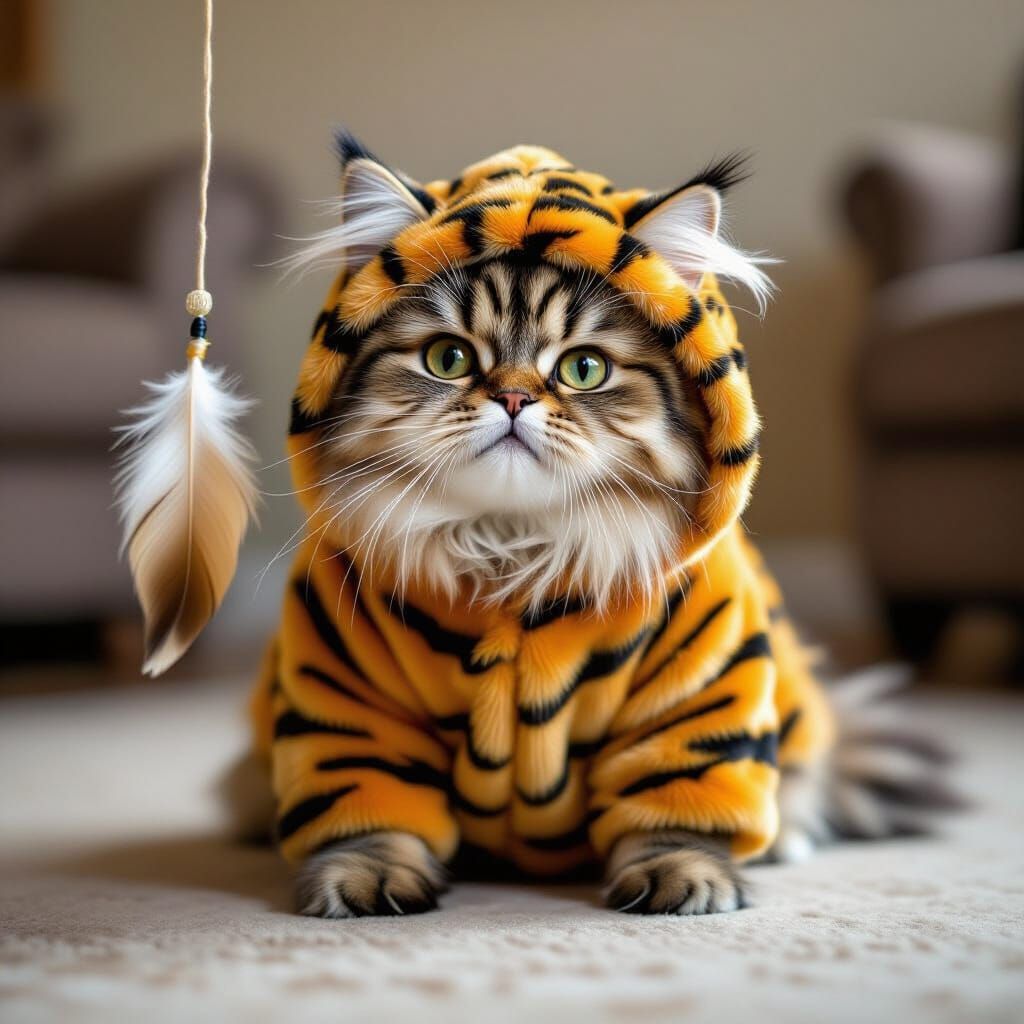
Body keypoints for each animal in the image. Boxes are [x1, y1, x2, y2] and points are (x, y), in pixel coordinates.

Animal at [229, 133, 957, 918]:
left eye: (583, 369)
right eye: (449, 358)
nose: (514, 398)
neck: (511, 558)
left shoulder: (693, 693)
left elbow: (676, 806)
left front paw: (684, 877)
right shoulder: (348, 697)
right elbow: (368, 810)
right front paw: (365, 878)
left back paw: (786, 837)